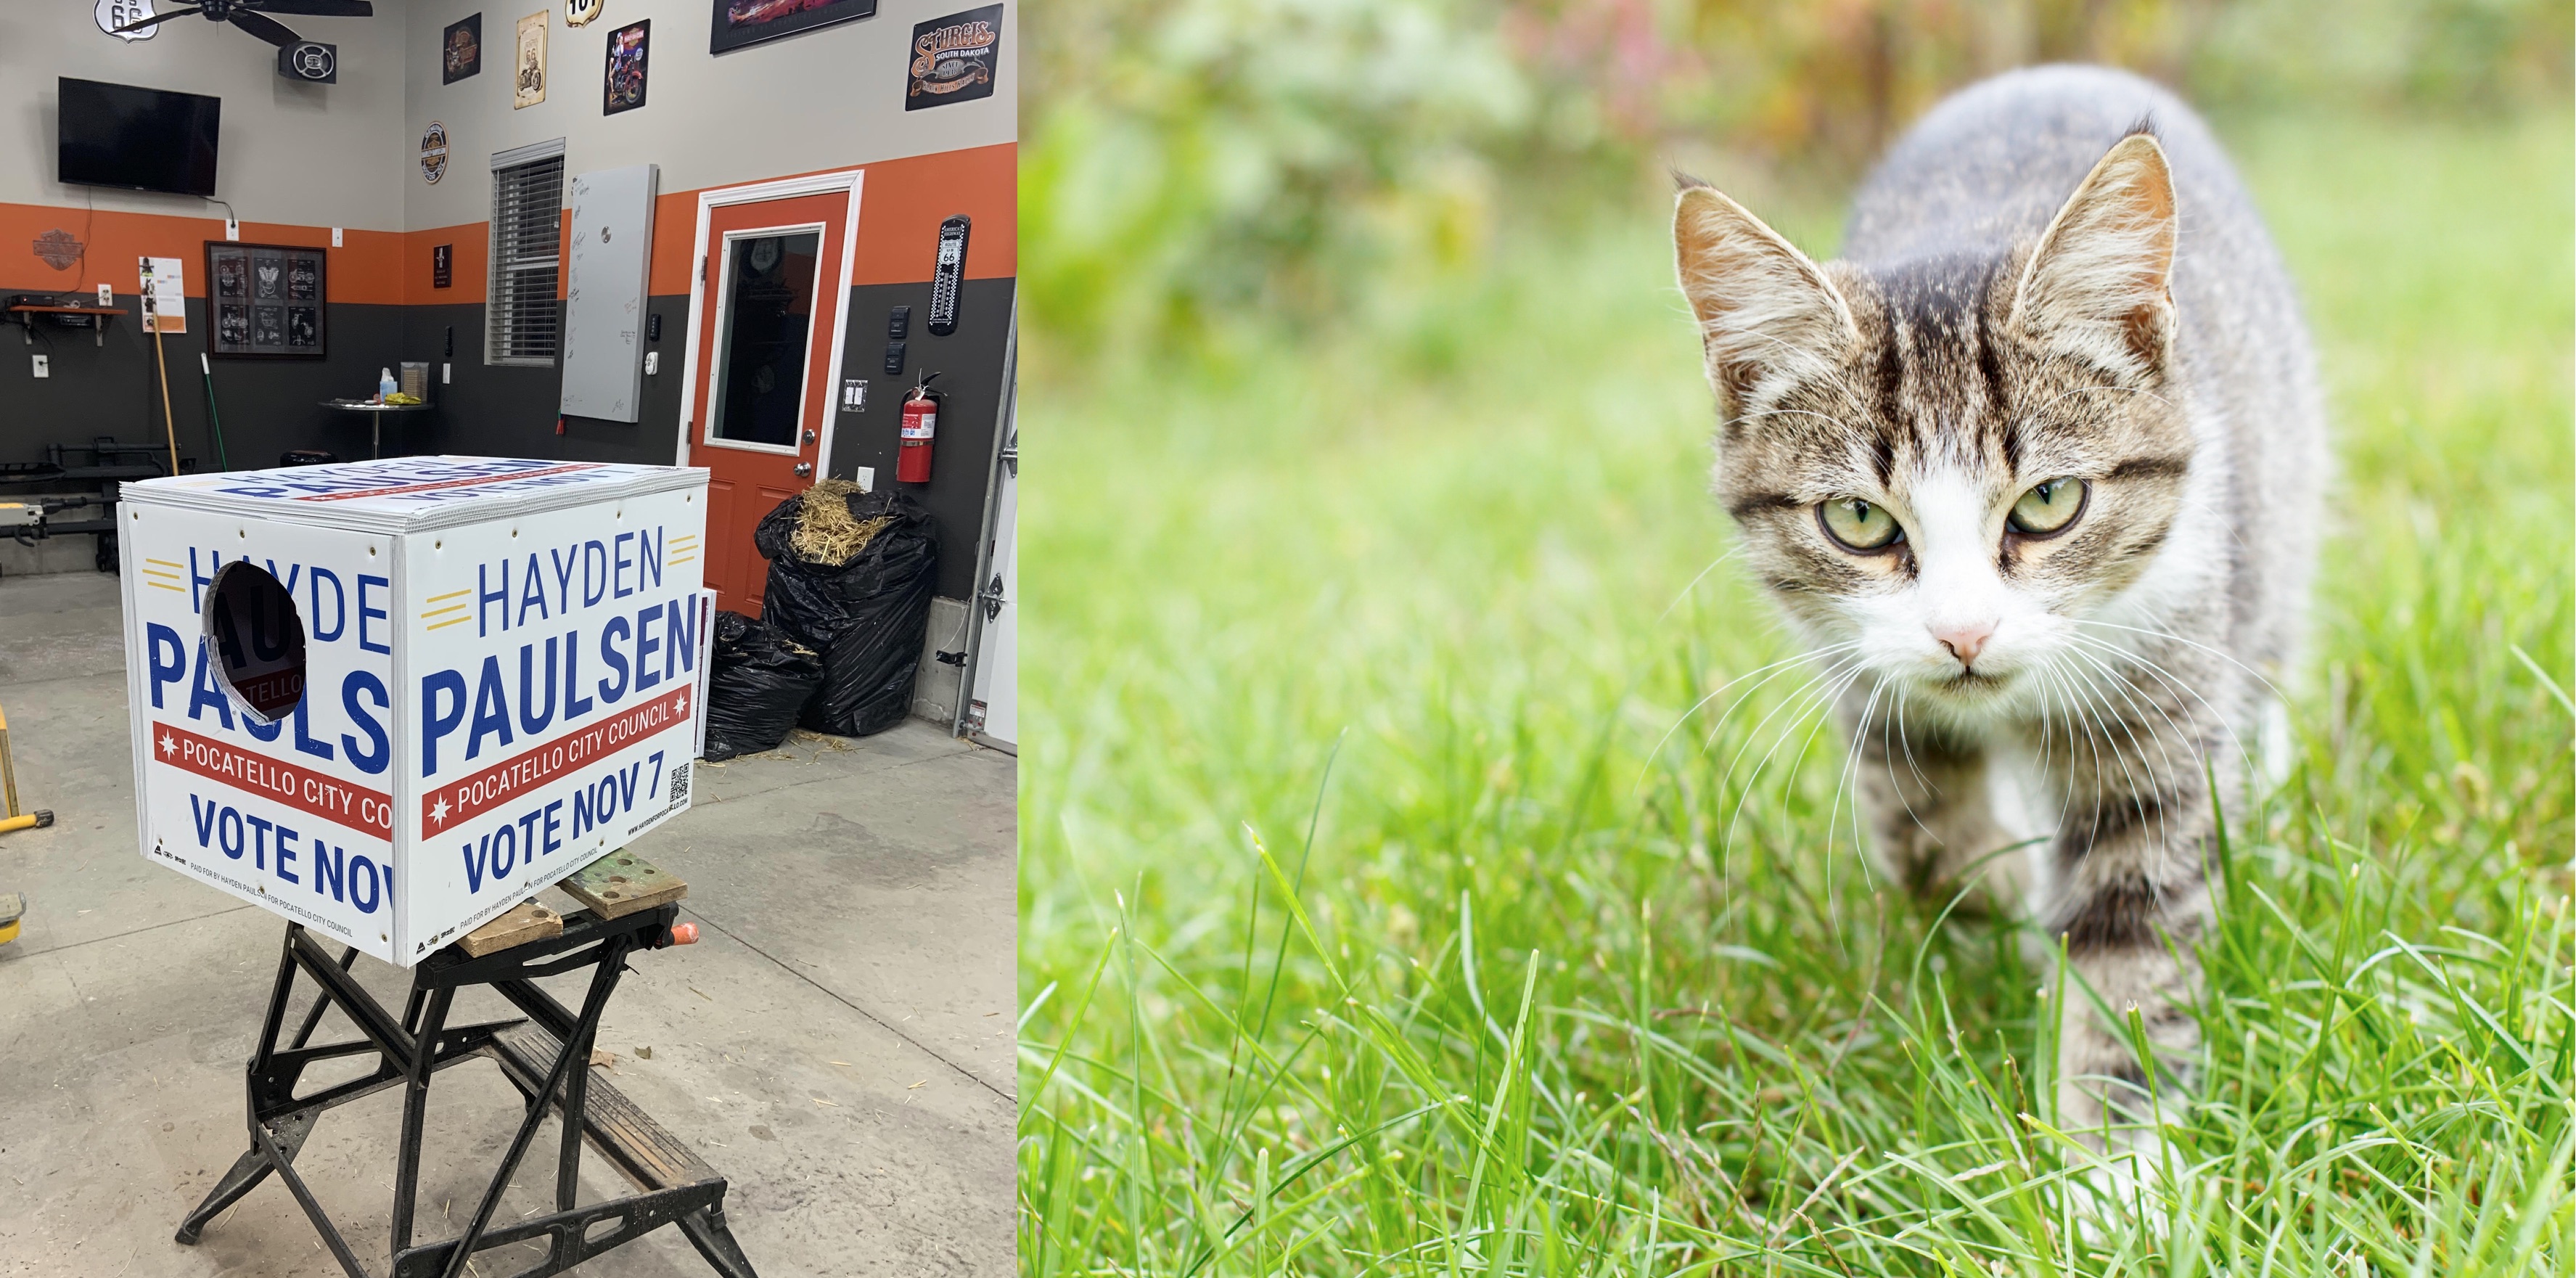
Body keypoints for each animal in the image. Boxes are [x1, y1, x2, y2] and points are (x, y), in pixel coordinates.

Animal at [1679, 65, 2329, 1174]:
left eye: (2048, 502)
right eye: (1857, 520)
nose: (1964, 636)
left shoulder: (2168, 660)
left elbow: (2132, 919)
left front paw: (2115, 1175)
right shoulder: (1866, 681)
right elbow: (1922, 836)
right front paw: (2014, 910)